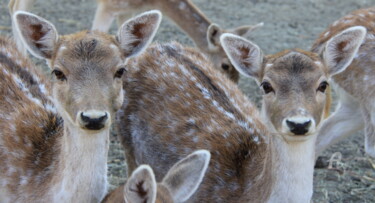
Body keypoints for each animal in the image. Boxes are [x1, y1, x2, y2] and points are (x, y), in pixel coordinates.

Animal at [115, 16, 368, 201]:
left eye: (323, 84)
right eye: (266, 85)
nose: (299, 123)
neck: (245, 191)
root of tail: (158, 46)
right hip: (128, 144)